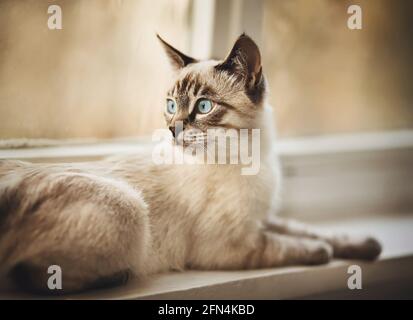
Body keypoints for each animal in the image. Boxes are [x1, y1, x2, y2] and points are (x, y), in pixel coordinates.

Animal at [0, 33, 380, 294]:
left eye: (203, 107)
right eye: (171, 106)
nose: (172, 129)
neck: (251, 157)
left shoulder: (261, 218)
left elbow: (307, 228)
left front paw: (367, 246)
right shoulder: (233, 244)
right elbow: (294, 244)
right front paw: (323, 252)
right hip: (130, 207)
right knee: (34, 277)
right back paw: (119, 274)